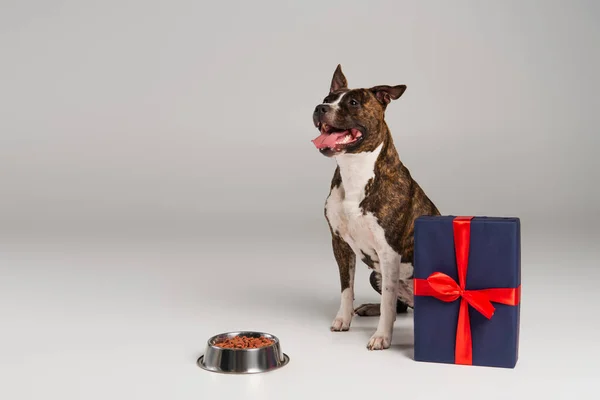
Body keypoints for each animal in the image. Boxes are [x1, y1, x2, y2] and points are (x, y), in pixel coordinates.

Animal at [312, 65, 438, 350]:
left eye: (353, 103)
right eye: (327, 98)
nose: (320, 108)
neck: (355, 171)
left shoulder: (388, 251)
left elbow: (388, 302)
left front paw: (382, 336)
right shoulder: (339, 243)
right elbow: (346, 287)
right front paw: (343, 319)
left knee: (397, 305)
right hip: (374, 275)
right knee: (400, 306)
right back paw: (369, 307)